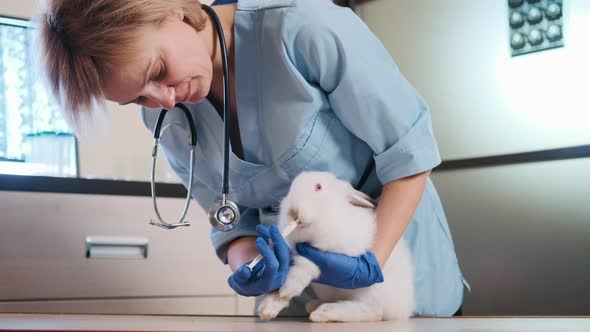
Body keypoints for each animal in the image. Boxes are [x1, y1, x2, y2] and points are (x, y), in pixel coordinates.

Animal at [260, 171, 416, 322]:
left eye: (318, 187)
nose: (292, 211)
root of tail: (404, 310)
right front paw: (269, 306)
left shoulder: (333, 255)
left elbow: (307, 265)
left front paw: (288, 289)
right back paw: (314, 305)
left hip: (373, 292)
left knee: (372, 312)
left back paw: (324, 313)